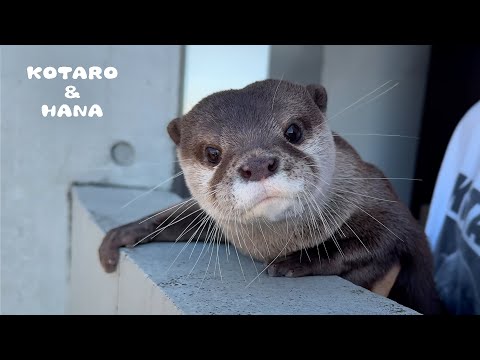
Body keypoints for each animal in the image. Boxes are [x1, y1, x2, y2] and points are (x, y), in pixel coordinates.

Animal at [98, 79, 446, 316]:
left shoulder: (379, 199)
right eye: (212, 153)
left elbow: (382, 239)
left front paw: (297, 261)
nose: (256, 164)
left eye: (293, 131)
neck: (277, 242)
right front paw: (125, 232)